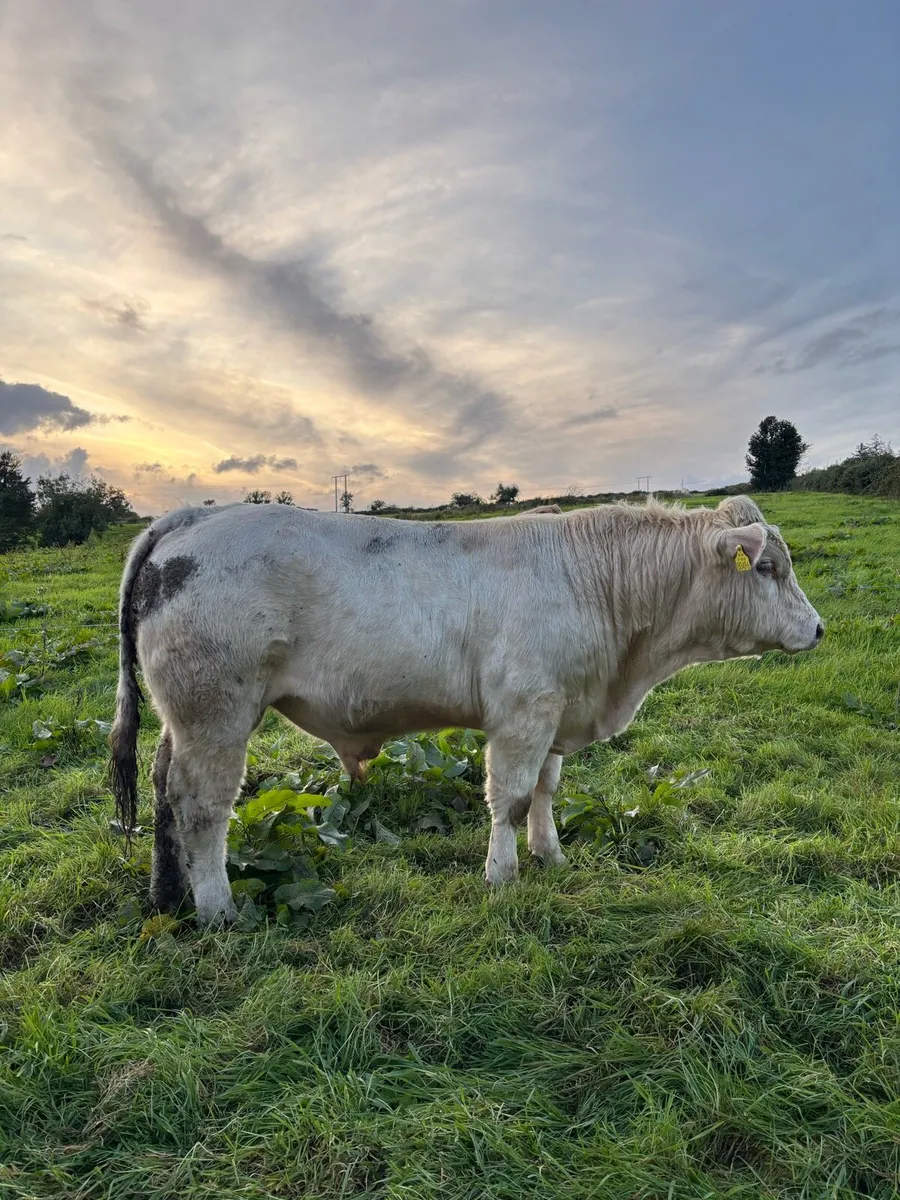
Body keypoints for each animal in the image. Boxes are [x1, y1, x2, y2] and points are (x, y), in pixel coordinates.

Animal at [110, 495, 823, 925]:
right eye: (768, 567)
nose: (818, 629)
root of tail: (188, 518)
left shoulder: (555, 710)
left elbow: (546, 792)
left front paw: (550, 856)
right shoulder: (523, 712)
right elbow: (509, 797)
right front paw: (502, 875)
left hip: (183, 719)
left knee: (162, 789)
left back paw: (166, 894)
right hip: (216, 712)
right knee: (202, 805)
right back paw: (217, 909)